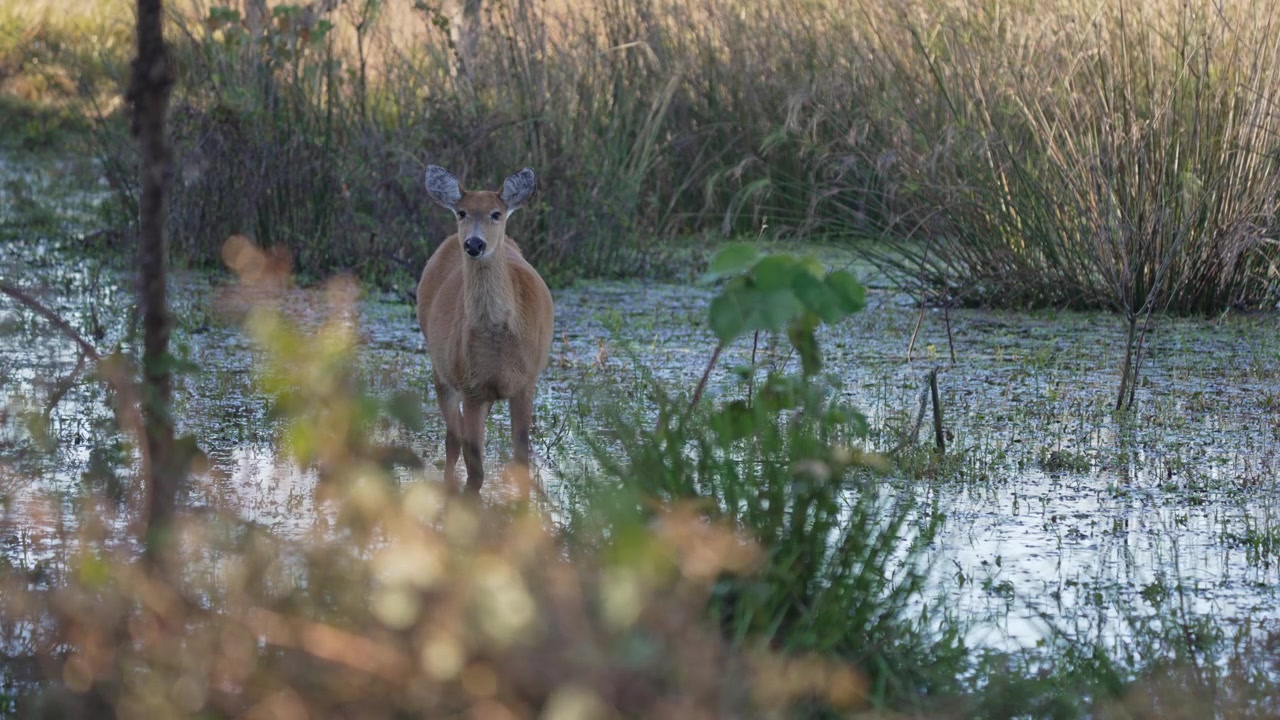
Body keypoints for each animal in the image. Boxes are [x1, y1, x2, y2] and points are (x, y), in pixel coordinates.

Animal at [417, 165, 555, 493]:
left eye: (496, 213)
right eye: (462, 212)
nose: (474, 244)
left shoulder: (526, 382)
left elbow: (521, 458)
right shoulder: (471, 386)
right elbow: (475, 467)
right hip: (441, 368)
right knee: (453, 438)